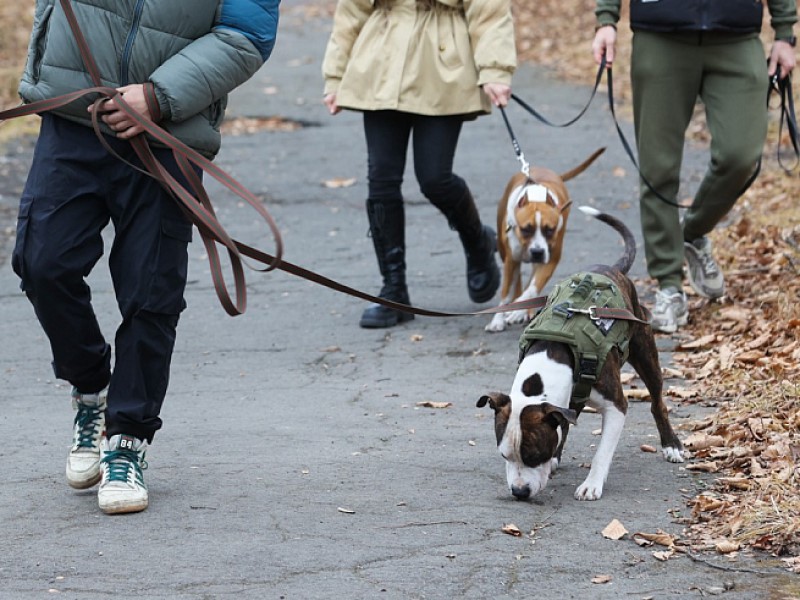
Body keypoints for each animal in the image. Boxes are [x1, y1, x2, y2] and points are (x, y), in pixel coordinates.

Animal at [478, 206, 684, 502]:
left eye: (534, 455)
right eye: (505, 456)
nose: (519, 491)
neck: (552, 359)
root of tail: (612, 269)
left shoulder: (615, 406)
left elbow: (602, 452)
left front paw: (591, 484)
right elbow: (562, 425)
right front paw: (556, 458)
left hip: (646, 352)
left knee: (657, 402)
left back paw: (672, 445)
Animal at [484, 147, 604, 330]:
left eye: (550, 230)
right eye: (526, 229)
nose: (537, 252)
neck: (537, 197)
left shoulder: (551, 259)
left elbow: (533, 287)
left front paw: (520, 308)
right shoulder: (511, 259)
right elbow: (505, 292)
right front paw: (498, 320)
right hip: (506, 253)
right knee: (516, 278)